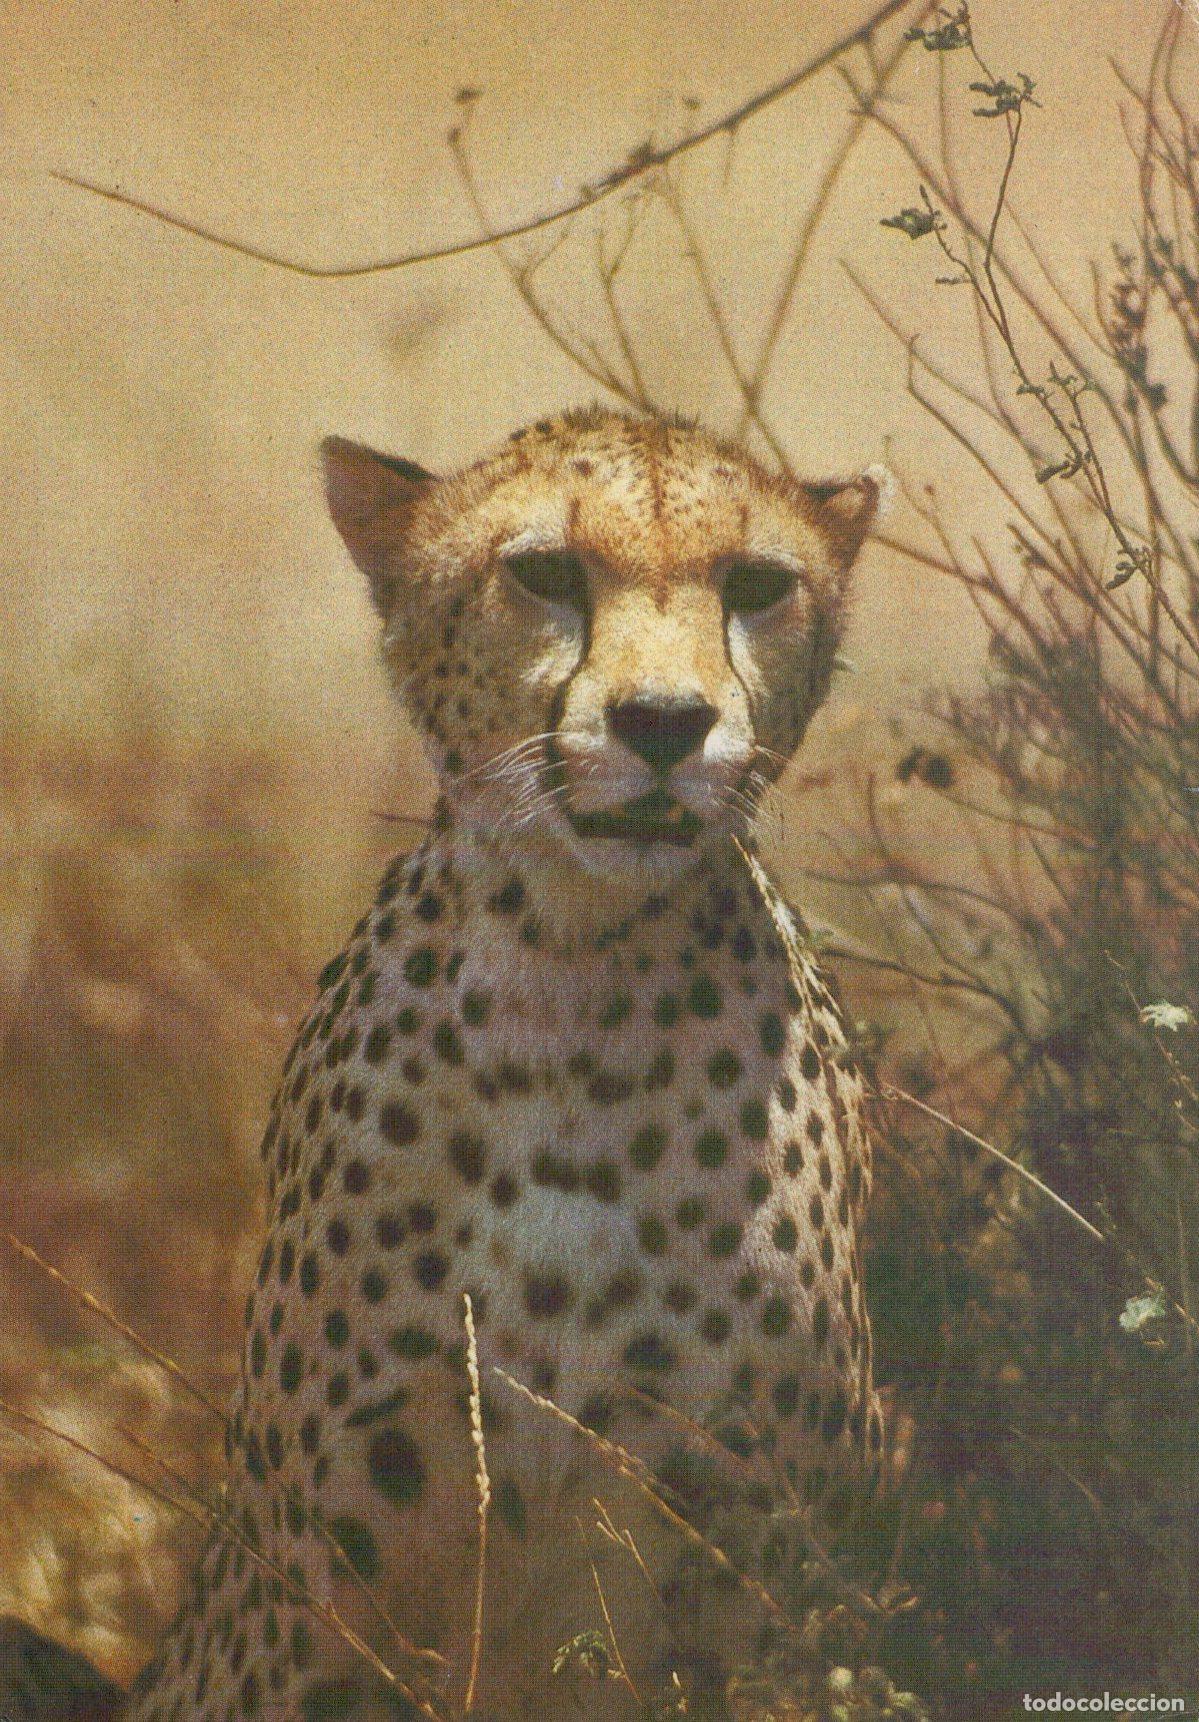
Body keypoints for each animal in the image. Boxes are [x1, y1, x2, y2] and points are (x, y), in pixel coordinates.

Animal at [123, 405, 892, 1721]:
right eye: (542, 573)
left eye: (754, 584)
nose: (662, 722)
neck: (576, 972)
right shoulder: (319, 1590)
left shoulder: (742, 1571)